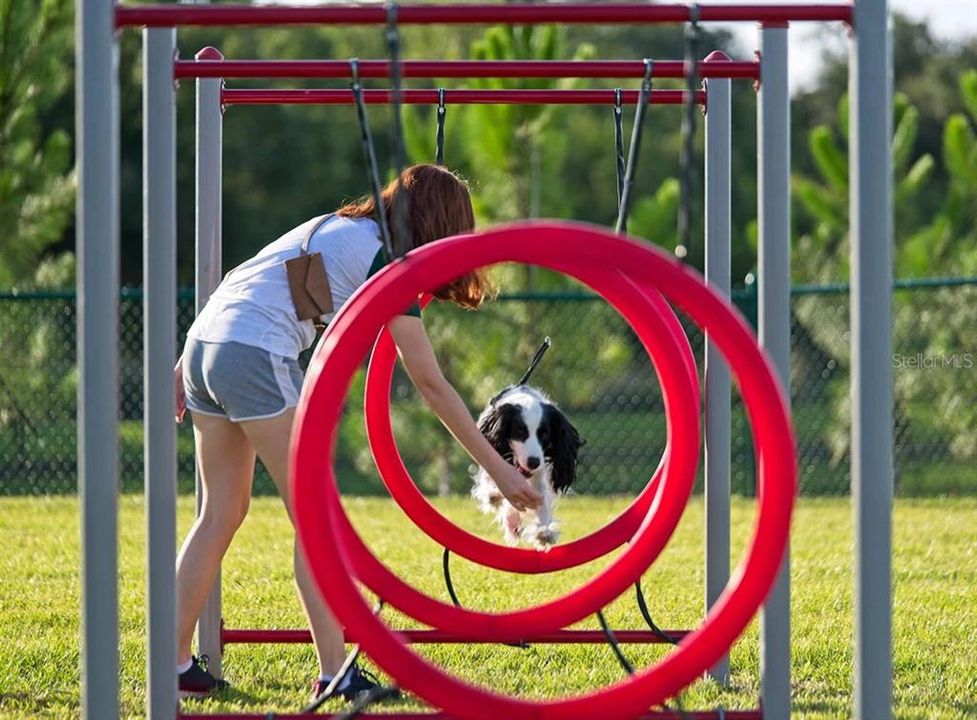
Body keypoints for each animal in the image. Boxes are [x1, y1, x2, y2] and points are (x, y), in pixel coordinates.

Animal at [470, 386, 584, 548]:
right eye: (520, 432)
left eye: (545, 435)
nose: (533, 462)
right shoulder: (491, 456)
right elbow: (491, 483)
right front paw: (494, 494)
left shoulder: (539, 474)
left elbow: (541, 499)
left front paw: (544, 530)